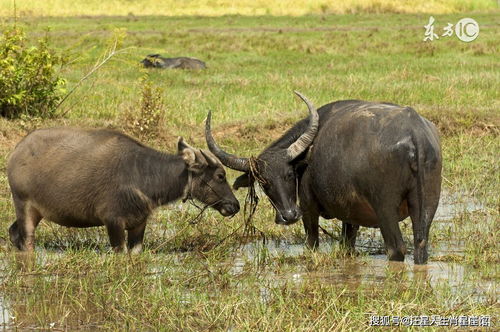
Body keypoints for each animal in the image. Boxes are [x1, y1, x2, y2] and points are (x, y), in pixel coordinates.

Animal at [7, 128, 238, 253]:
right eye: (220, 175)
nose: (234, 205)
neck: (142, 174)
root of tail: (17, 151)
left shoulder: (139, 225)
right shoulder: (113, 222)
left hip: (35, 212)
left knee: (13, 233)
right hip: (23, 205)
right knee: (27, 241)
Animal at [205, 92, 444, 264]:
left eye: (289, 174)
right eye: (264, 183)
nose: (288, 215)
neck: (305, 156)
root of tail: (415, 133)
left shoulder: (308, 208)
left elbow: (312, 242)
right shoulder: (350, 214)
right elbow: (347, 243)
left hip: (385, 208)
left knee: (396, 248)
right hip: (427, 204)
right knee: (420, 245)